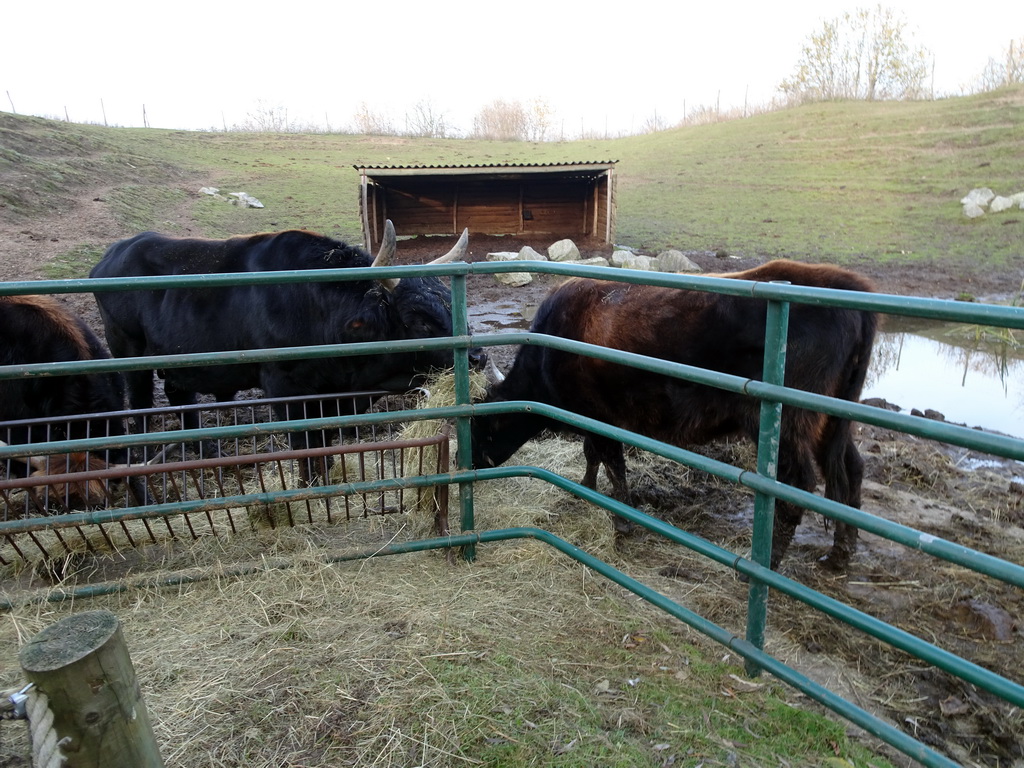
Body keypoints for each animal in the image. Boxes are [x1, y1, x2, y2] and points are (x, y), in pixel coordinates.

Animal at [90, 219, 473, 481]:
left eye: (450, 304)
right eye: (419, 322)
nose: (478, 356)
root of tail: (111, 255)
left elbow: (324, 440)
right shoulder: (283, 388)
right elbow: (303, 442)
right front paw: (310, 483)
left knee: (180, 398)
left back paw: (207, 450)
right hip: (130, 355)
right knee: (141, 405)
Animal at [471, 264, 880, 573]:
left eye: (480, 428)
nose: (468, 463)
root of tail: (850, 289)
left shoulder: (603, 417)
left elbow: (612, 462)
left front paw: (622, 521)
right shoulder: (593, 417)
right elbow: (594, 455)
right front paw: (585, 488)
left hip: (787, 425)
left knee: (795, 487)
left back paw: (765, 568)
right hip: (833, 422)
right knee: (851, 470)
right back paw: (839, 555)